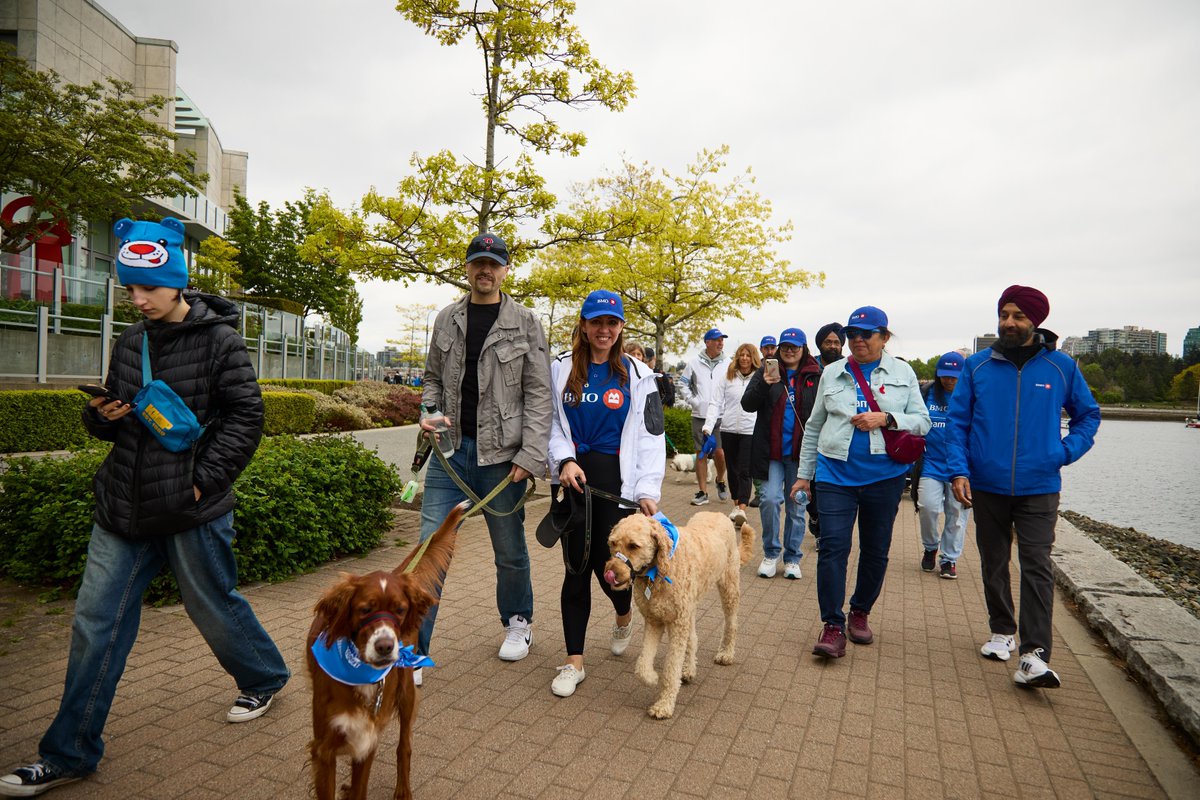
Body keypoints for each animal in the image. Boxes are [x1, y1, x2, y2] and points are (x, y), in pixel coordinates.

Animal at [304, 496, 463, 796]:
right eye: (365, 609)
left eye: (400, 610)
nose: (386, 647)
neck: (359, 674)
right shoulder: (325, 749)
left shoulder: (368, 740)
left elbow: (361, 789)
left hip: (407, 694)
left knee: (405, 747)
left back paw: (403, 790)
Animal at [604, 513, 753, 719]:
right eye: (613, 543)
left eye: (633, 545)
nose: (610, 573)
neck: (660, 569)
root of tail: (718, 514)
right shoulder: (654, 620)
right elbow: (642, 665)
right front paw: (652, 678)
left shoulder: (676, 624)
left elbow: (670, 668)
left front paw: (664, 705)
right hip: (690, 607)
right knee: (693, 638)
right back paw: (689, 669)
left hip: (728, 587)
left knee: (731, 624)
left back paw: (726, 654)